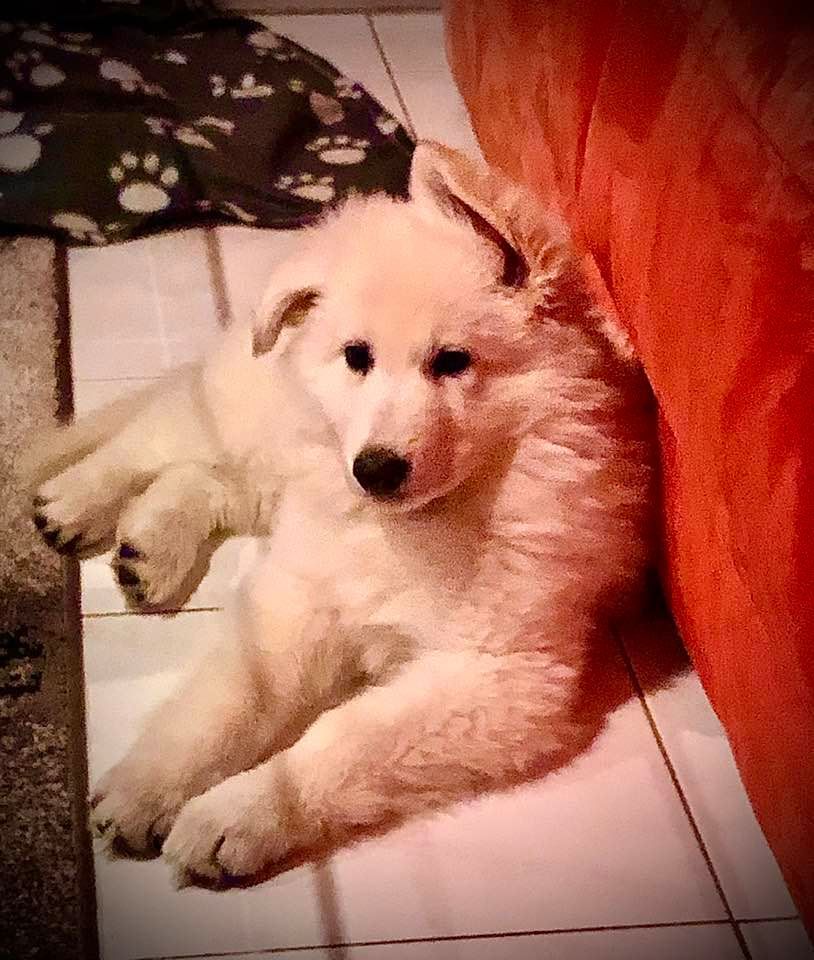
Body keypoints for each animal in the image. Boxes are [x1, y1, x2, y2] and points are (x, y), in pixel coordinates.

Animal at [27, 142, 655, 886]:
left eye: (453, 361)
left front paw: (234, 816)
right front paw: (150, 782)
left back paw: (147, 553)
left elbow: (344, 740)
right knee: (157, 437)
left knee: (204, 480)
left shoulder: (498, 675)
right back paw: (74, 501)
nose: (375, 470)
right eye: (358, 357)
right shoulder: (301, 594)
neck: (422, 522)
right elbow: (236, 697)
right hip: (248, 416)